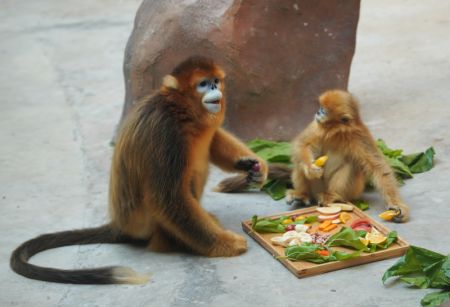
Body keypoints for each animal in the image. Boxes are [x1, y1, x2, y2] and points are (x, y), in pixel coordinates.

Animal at [11, 56, 268, 286]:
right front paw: (227, 243)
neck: (179, 111)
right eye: (203, 84)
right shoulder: (166, 133)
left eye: (215, 80)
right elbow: (167, 199)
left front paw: (252, 165)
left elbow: (212, 140)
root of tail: (120, 225)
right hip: (145, 223)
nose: (215, 88)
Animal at [286, 89, 410, 224]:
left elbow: (378, 167)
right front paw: (310, 168)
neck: (336, 132)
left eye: (324, 110)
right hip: (316, 187)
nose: (318, 112)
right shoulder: (316, 125)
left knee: (351, 164)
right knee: (299, 163)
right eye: (320, 107)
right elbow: (302, 145)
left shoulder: (359, 135)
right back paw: (303, 194)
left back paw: (333, 195)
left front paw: (397, 205)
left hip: (352, 192)